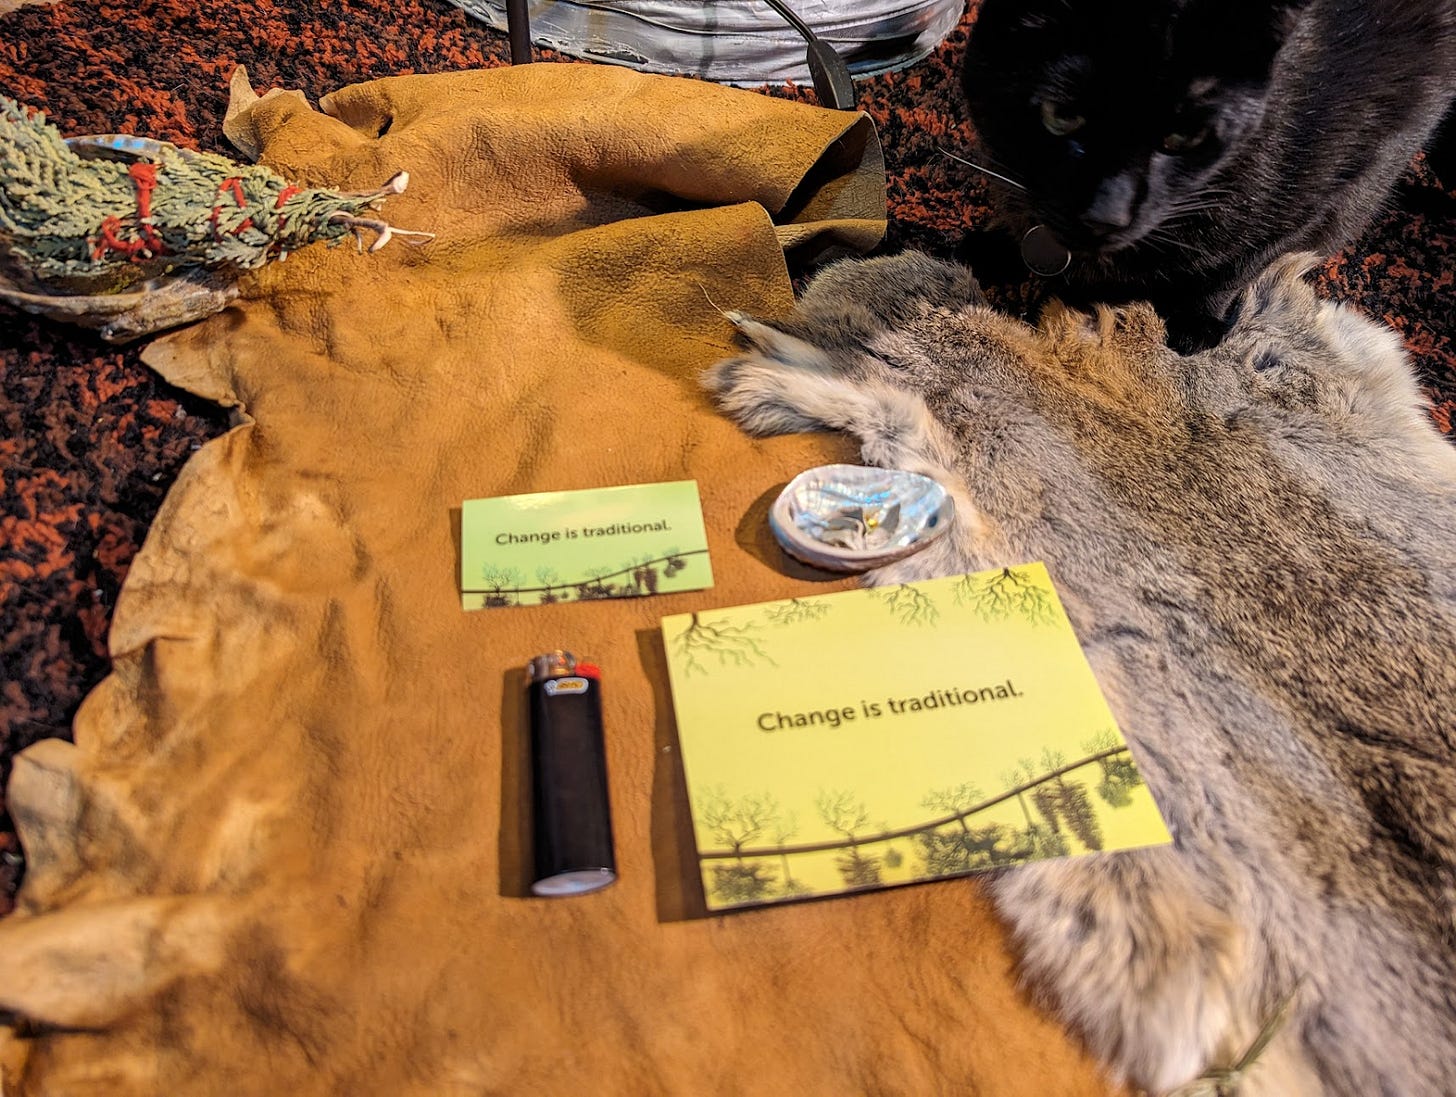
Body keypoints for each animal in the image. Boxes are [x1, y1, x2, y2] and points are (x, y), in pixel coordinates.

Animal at [960, 0, 1450, 346]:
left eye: (1185, 137)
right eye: (1060, 115)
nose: (1105, 213)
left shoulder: (1324, 190)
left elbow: (1241, 264)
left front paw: (1198, 323)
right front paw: (995, 246)